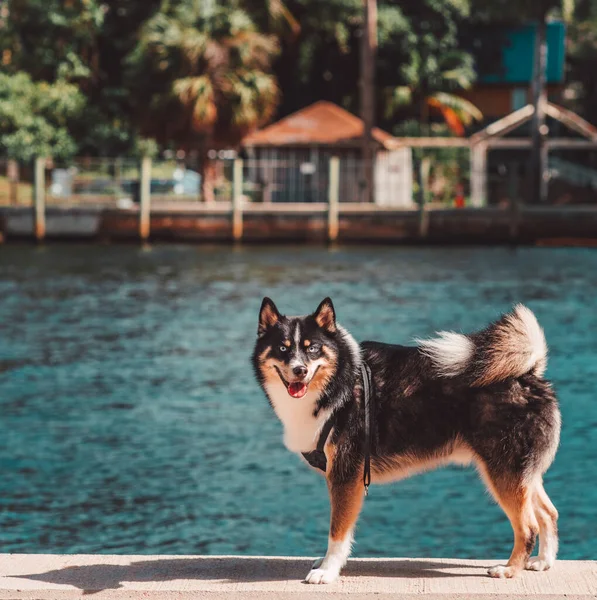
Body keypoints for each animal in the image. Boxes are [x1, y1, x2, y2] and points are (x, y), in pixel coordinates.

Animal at [251, 298, 560, 584]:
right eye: (282, 348)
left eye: (313, 348)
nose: (300, 370)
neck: (339, 383)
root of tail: (528, 374)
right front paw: (327, 563)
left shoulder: (345, 477)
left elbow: (337, 532)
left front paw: (327, 571)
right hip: (521, 474)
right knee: (549, 514)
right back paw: (542, 562)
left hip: (503, 471)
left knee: (528, 526)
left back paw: (509, 569)